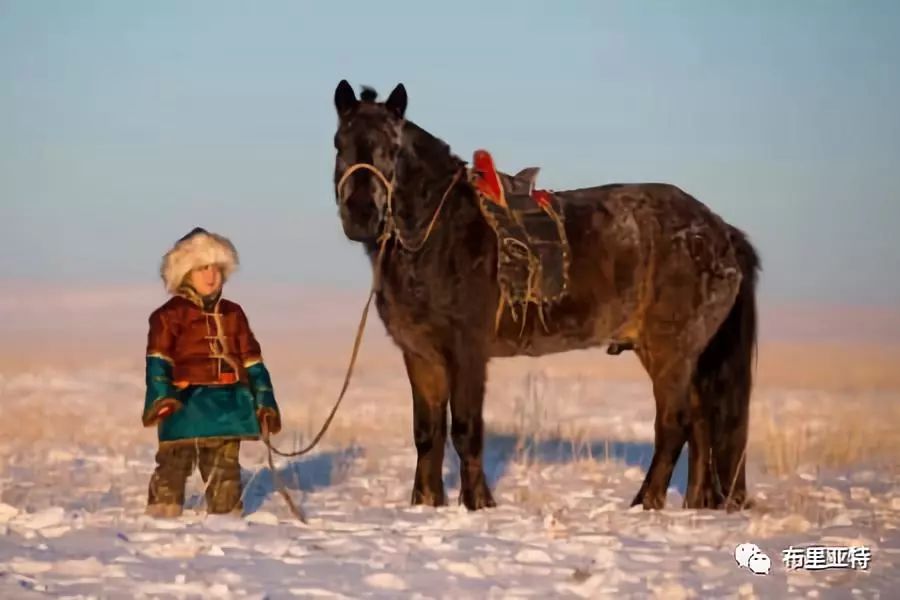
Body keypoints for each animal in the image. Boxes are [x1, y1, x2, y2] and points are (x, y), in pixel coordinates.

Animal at [330, 78, 760, 510]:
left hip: (669, 351)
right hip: (685, 355)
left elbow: (466, 429)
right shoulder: (421, 355)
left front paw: (478, 503)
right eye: (339, 143)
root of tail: (720, 233)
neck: (439, 233)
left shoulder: (467, 352)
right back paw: (694, 503)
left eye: (392, 148)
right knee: (702, 422)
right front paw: (425, 503)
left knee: (675, 425)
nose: (361, 213)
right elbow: (426, 433)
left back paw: (645, 503)